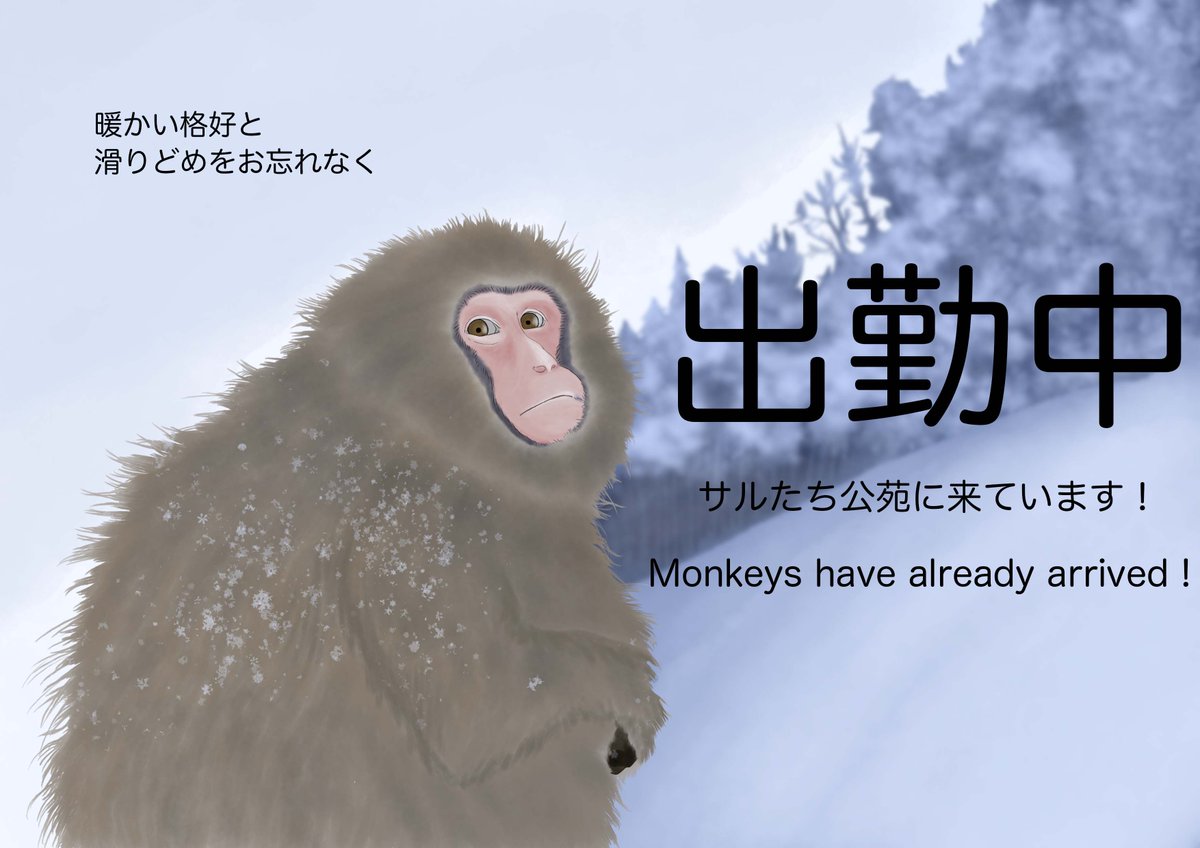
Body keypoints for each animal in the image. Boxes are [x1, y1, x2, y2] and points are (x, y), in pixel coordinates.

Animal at [35, 216, 667, 848]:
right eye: (483, 328)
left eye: (533, 320)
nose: (543, 367)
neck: (415, 416)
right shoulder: (409, 527)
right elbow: (478, 716)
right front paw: (628, 690)